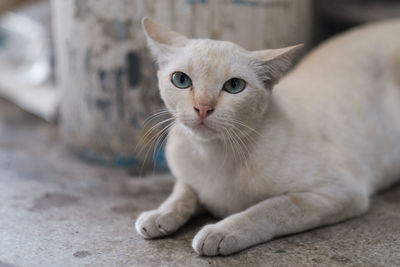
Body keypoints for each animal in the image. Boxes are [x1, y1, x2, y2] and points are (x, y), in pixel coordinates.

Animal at [135, 17, 400, 256]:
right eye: (181, 80)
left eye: (234, 86)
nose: (203, 108)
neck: (212, 154)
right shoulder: (189, 179)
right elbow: (182, 194)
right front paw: (159, 215)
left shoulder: (339, 192)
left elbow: (269, 208)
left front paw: (220, 232)